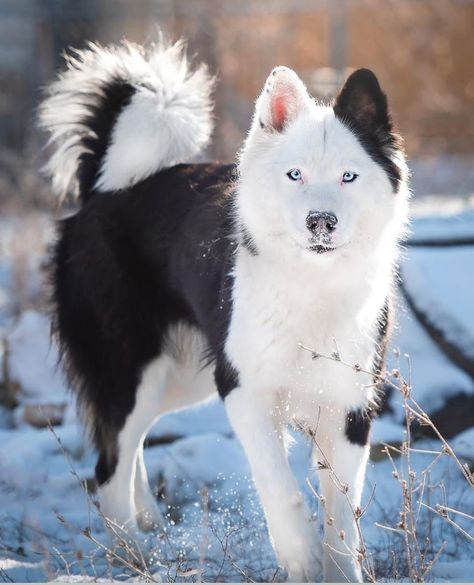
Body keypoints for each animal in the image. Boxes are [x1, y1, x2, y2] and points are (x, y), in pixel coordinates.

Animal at [40, 37, 410, 580]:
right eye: (294, 175)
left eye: (349, 176)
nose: (321, 222)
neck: (310, 282)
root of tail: (102, 191)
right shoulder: (244, 389)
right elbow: (280, 486)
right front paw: (299, 557)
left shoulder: (349, 405)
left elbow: (343, 514)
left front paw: (339, 572)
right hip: (132, 369)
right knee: (109, 462)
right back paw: (132, 553)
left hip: (183, 376)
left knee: (129, 446)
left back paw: (150, 524)